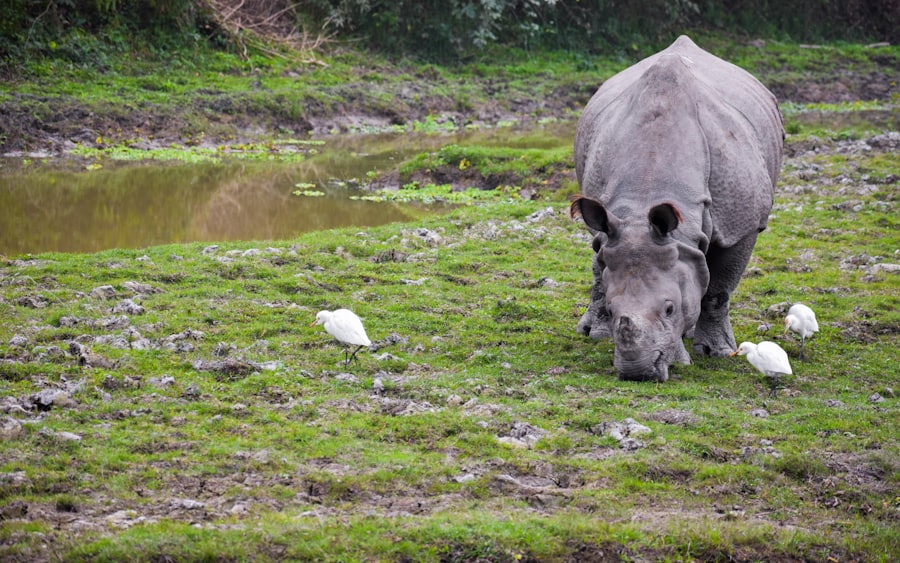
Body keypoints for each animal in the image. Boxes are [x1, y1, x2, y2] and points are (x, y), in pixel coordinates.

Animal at [570, 35, 784, 382]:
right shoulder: (617, 220)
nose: (639, 372)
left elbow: (718, 289)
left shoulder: (742, 225)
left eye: (670, 309)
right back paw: (594, 333)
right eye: (615, 312)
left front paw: (716, 352)